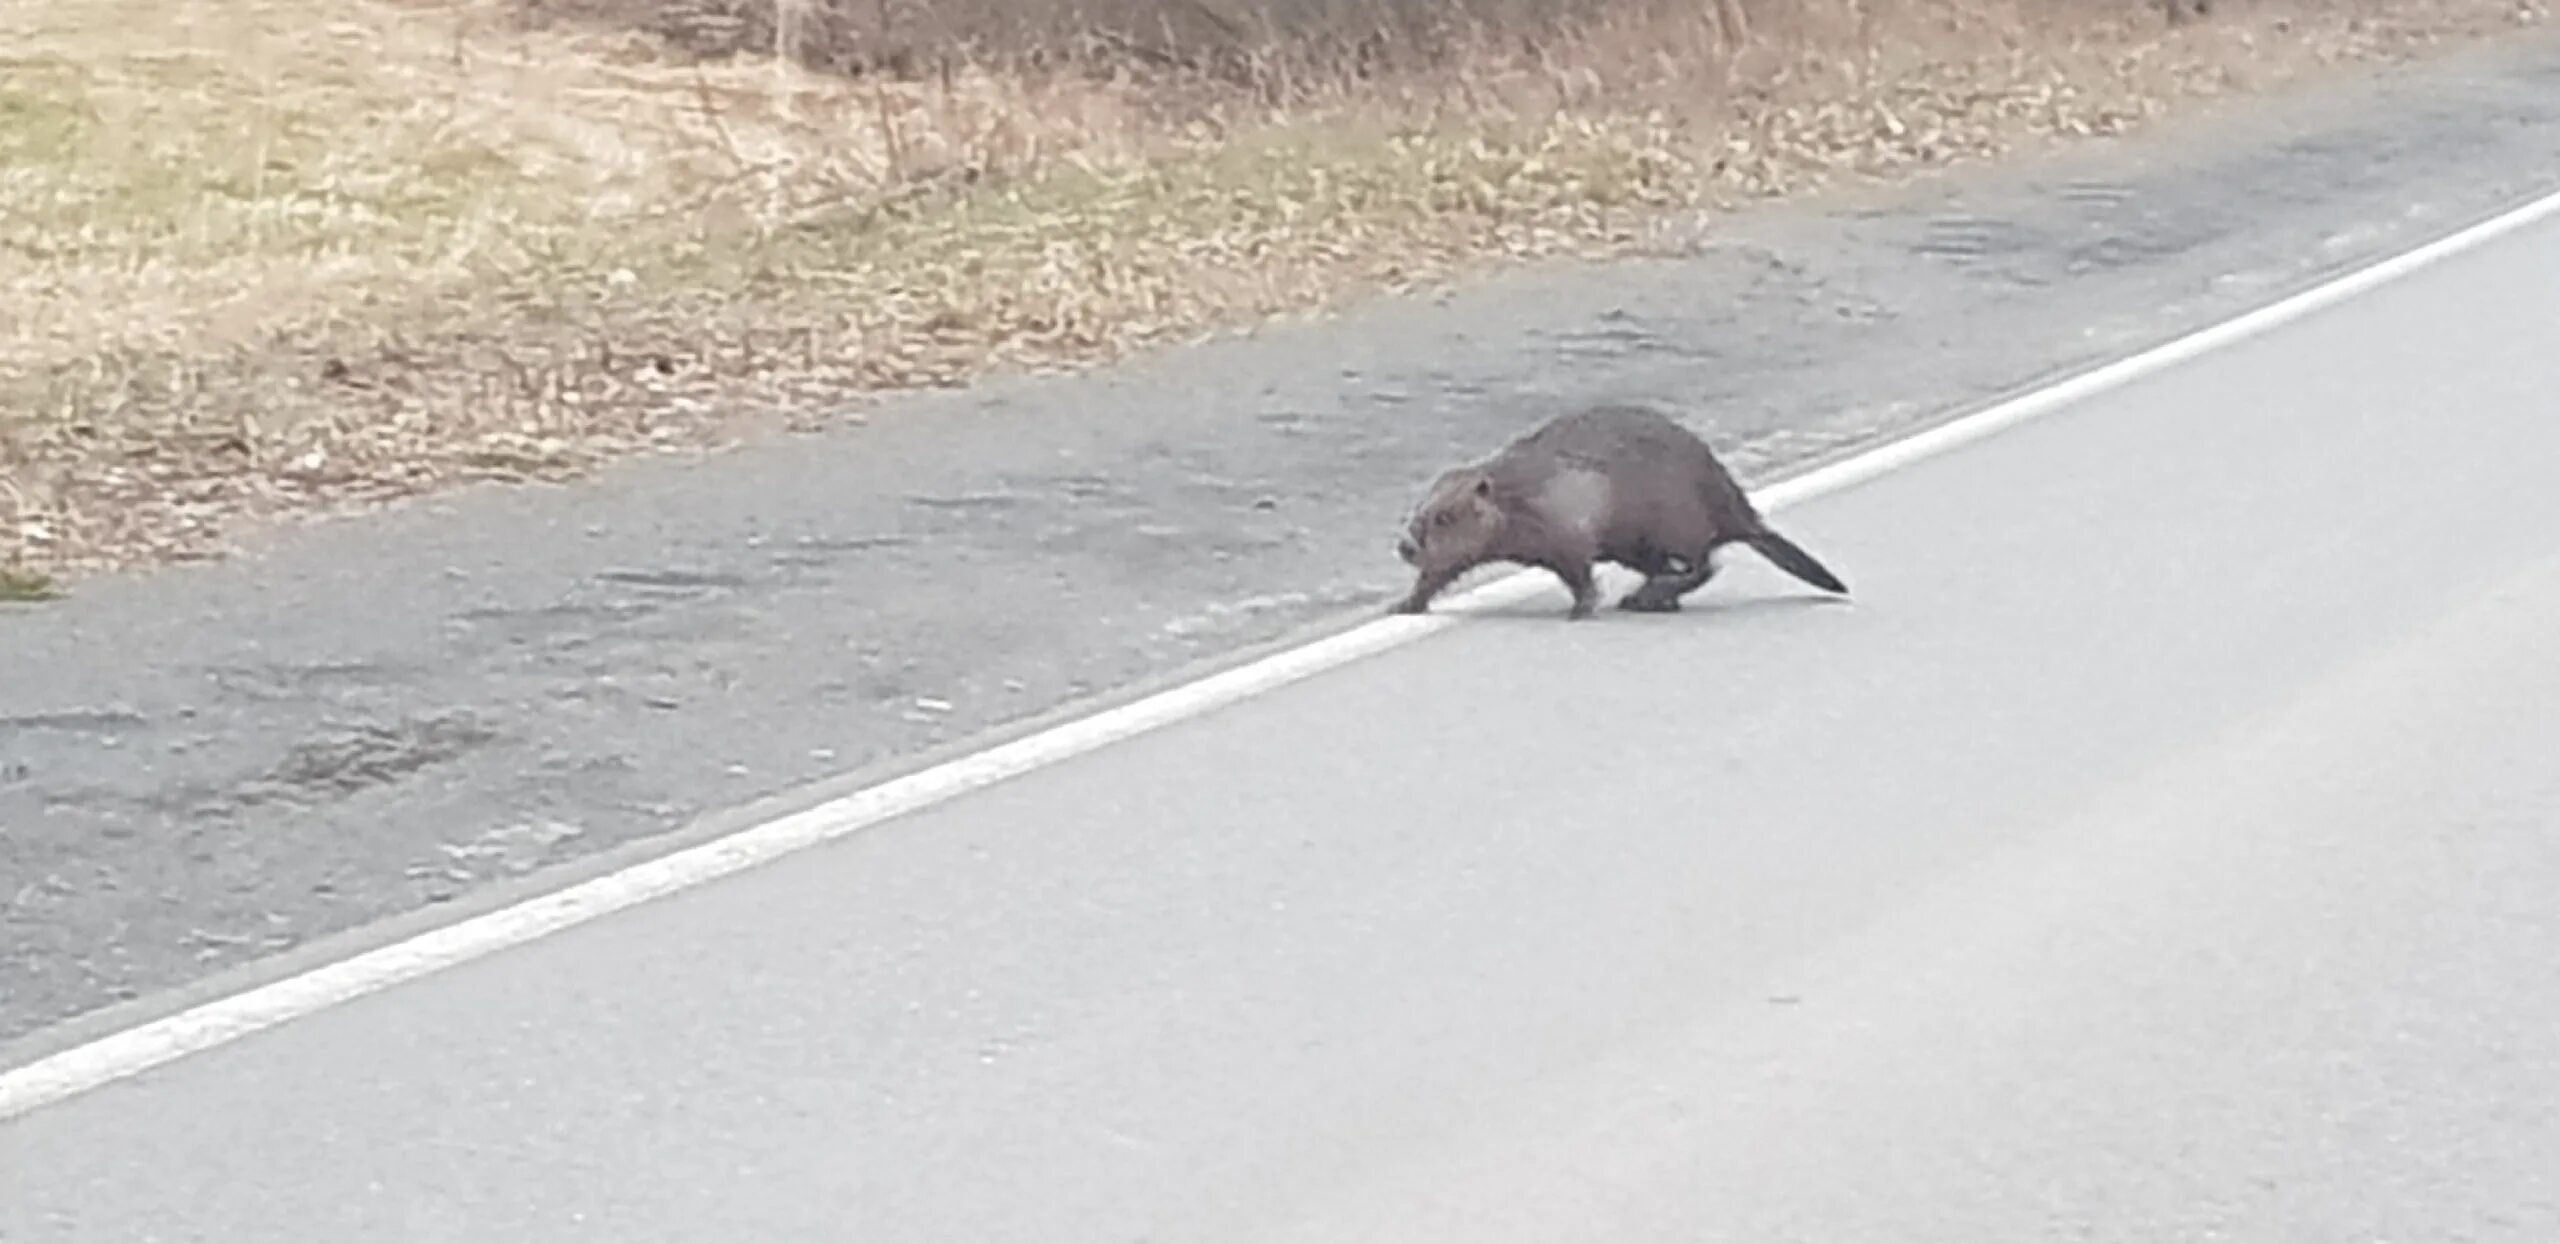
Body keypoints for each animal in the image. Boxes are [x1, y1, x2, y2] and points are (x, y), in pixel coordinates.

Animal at [1402, 406, 1843, 619]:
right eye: (1419, 508)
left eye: (1444, 516)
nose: (1404, 547)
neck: (1517, 493)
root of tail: (1743, 516)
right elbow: (1441, 571)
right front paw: (1405, 604)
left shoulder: (1562, 521)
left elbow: (1578, 570)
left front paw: (1580, 610)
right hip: (1639, 546)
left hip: (1675, 524)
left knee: (1703, 565)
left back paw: (1645, 597)